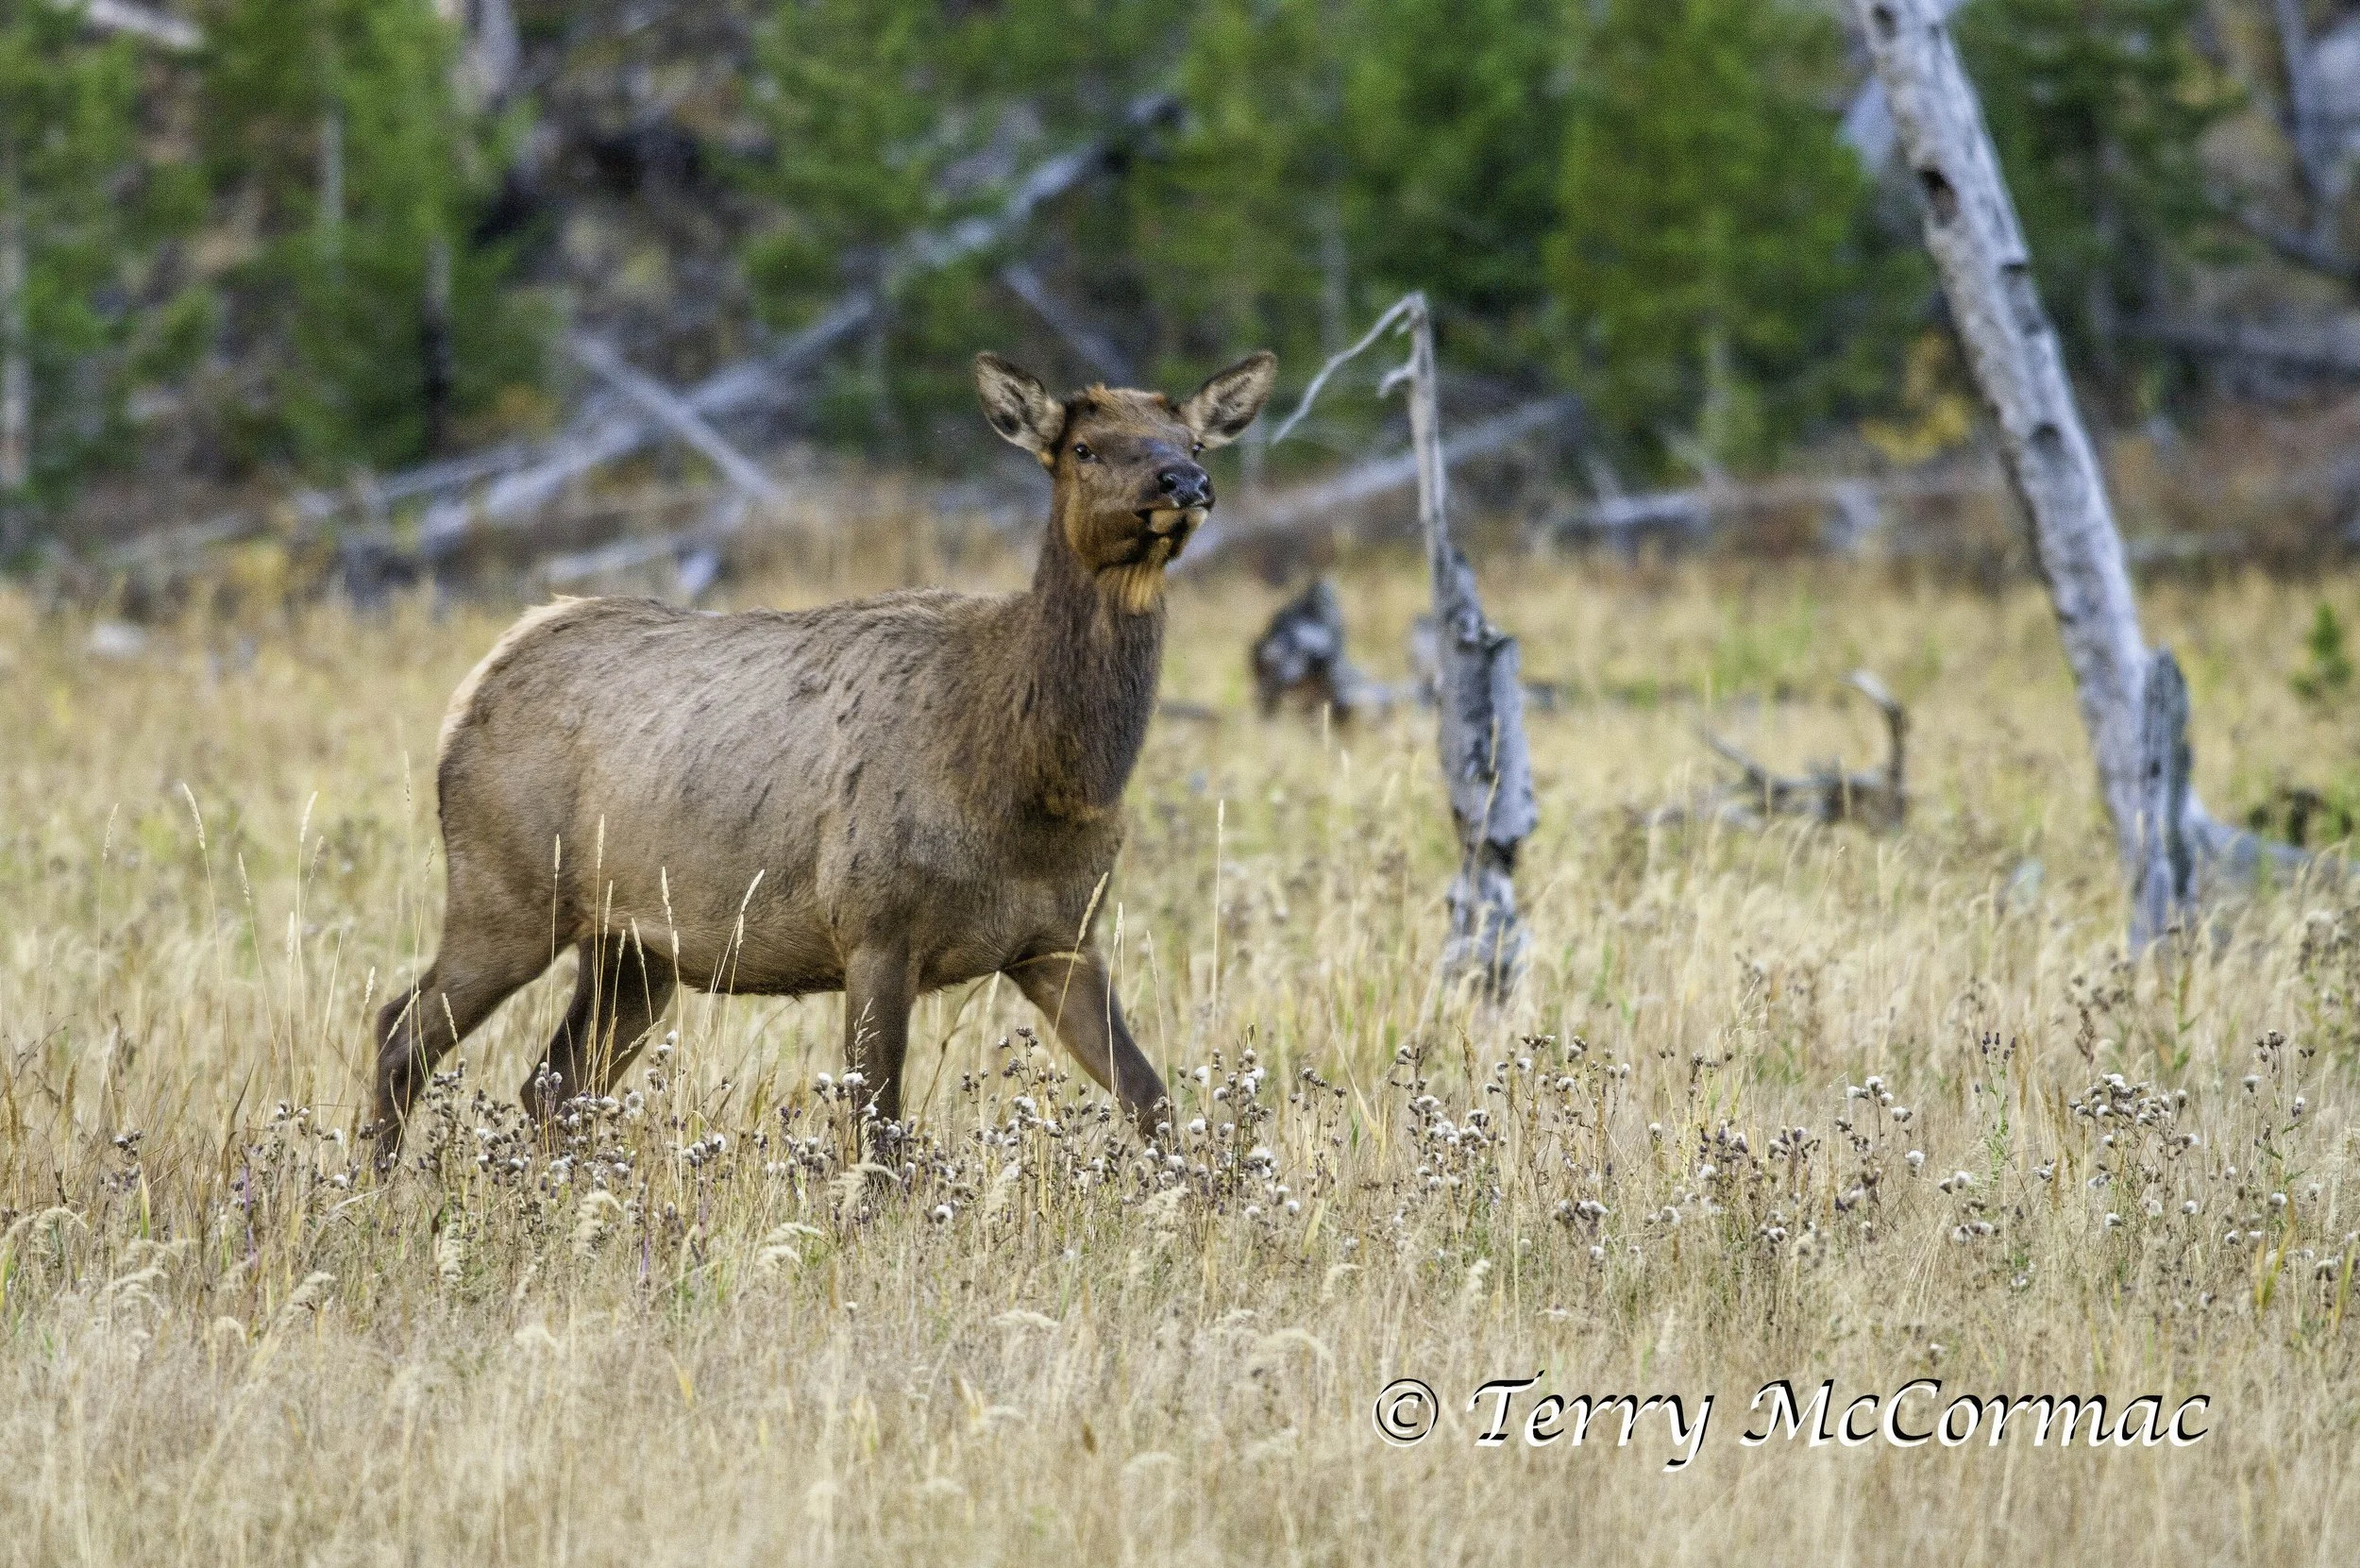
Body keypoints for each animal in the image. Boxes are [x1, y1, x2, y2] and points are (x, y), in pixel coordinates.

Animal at [370, 349, 1277, 1166]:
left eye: (1193, 441)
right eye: (1084, 447)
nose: (1185, 484)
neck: (1032, 789)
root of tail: (478, 681)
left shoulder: (1062, 940)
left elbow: (1154, 1102)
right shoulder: (874, 927)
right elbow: (877, 1132)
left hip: (634, 950)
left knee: (550, 1084)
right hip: (505, 893)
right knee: (401, 1029)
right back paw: (375, 1190)